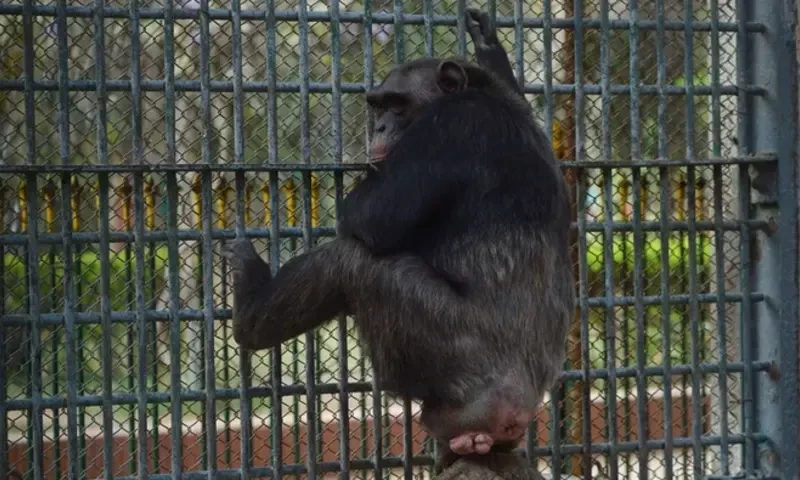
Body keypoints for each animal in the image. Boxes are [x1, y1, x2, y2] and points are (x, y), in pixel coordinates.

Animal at [221, 8, 574, 471]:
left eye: (398, 104)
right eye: (378, 106)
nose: (380, 126)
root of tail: (521, 405)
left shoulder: (449, 127)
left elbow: (371, 217)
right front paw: (489, 47)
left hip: (450, 353)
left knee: (352, 260)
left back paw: (249, 308)